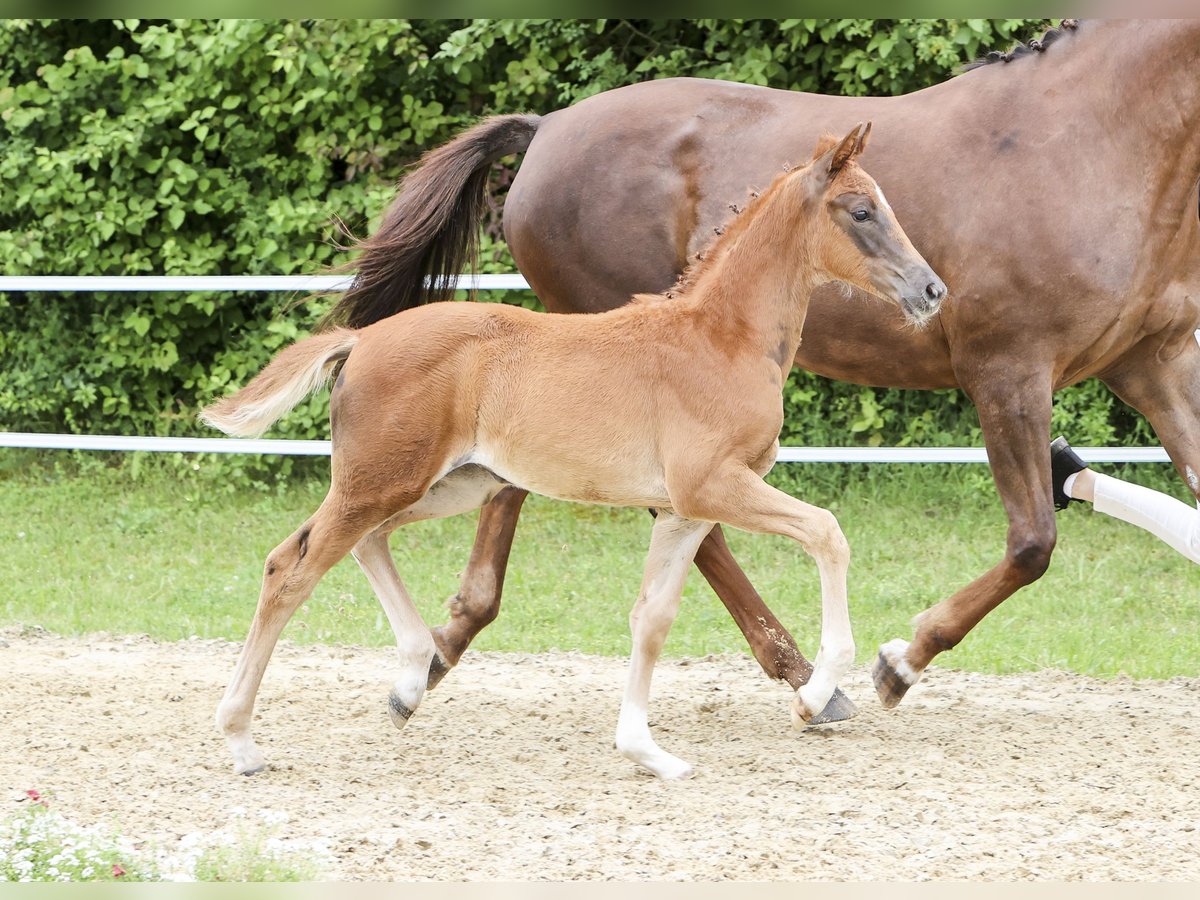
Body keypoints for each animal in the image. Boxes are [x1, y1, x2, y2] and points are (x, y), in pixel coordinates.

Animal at [201, 123, 940, 777]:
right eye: (863, 211)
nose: (932, 289)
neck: (720, 338)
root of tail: (361, 341)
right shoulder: (713, 486)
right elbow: (827, 533)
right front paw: (815, 695)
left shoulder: (684, 512)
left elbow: (652, 618)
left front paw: (646, 752)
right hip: (379, 482)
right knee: (291, 570)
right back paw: (241, 740)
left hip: (448, 484)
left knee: (352, 544)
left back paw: (411, 679)